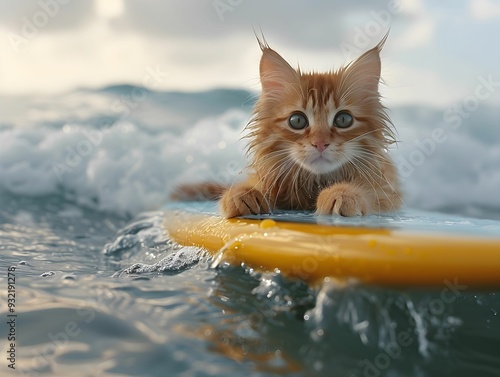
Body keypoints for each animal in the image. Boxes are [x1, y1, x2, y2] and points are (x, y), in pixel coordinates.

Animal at [174, 36, 400, 217]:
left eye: (343, 120)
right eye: (297, 121)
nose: (320, 144)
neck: (313, 183)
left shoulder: (387, 190)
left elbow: (369, 192)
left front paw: (342, 193)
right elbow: (251, 185)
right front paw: (242, 194)